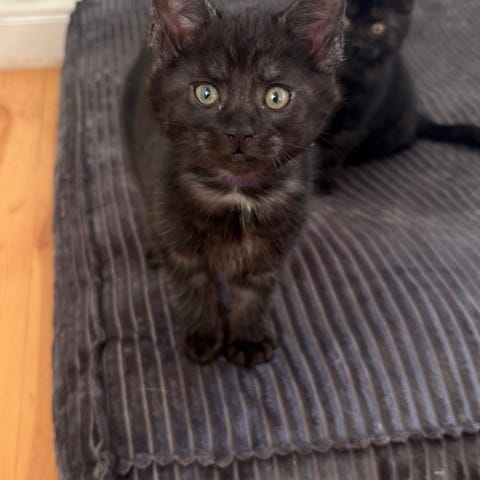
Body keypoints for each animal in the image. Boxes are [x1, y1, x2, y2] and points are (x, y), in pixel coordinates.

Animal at [123, 0, 346, 367]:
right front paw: (204, 335)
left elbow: (253, 296)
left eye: (276, 97)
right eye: (206, 93)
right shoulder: (183, 251)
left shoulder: (270, 254)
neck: (236, 192)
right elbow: (196, 289)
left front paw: (246, 339)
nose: (240, 131)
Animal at [317, 0, 480, 189]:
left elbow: (334, 151)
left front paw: (323, 181)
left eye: (378, 28)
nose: (358, 44)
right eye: (346, 22)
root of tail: (416, 116)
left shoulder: (356, 120)